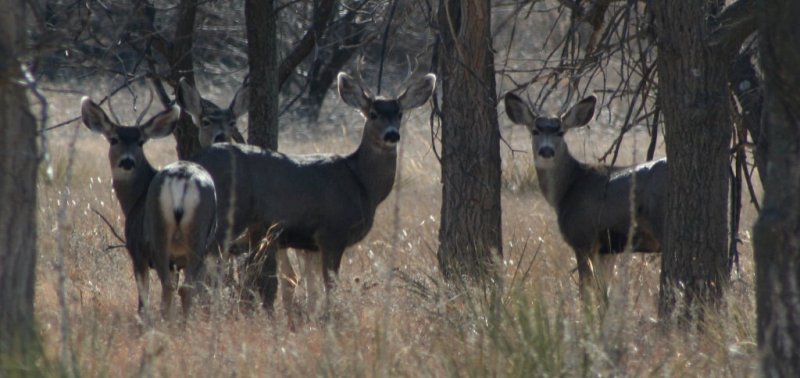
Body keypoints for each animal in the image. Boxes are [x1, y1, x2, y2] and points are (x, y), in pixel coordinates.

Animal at [80, 97, 217, 318]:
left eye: (140, 141)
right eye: (114, 139)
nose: (127, 161)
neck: (135, 200)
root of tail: (183, 177)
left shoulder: (137, 249)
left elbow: (143, 298)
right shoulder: (176, 261)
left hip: (158, 230)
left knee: (167, 286)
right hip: (201, 233)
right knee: (187, 287)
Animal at [187, 72, 434, 320]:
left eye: (399, 113)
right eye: (373, 114)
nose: (392, 134)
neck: (361, 184)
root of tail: (197, 163)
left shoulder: (309, 244)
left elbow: (312, 292)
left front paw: (310, 321)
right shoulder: (331, 233)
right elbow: (330, 287)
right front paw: (330, 320)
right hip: (226, 219)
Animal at [506, 93, 668, 294]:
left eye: (561, 132)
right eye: (535, 130)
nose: (546, 150)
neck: (568, 189)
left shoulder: (582, 238)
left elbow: (586, 291)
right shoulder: (607, 249)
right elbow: (603, 291)